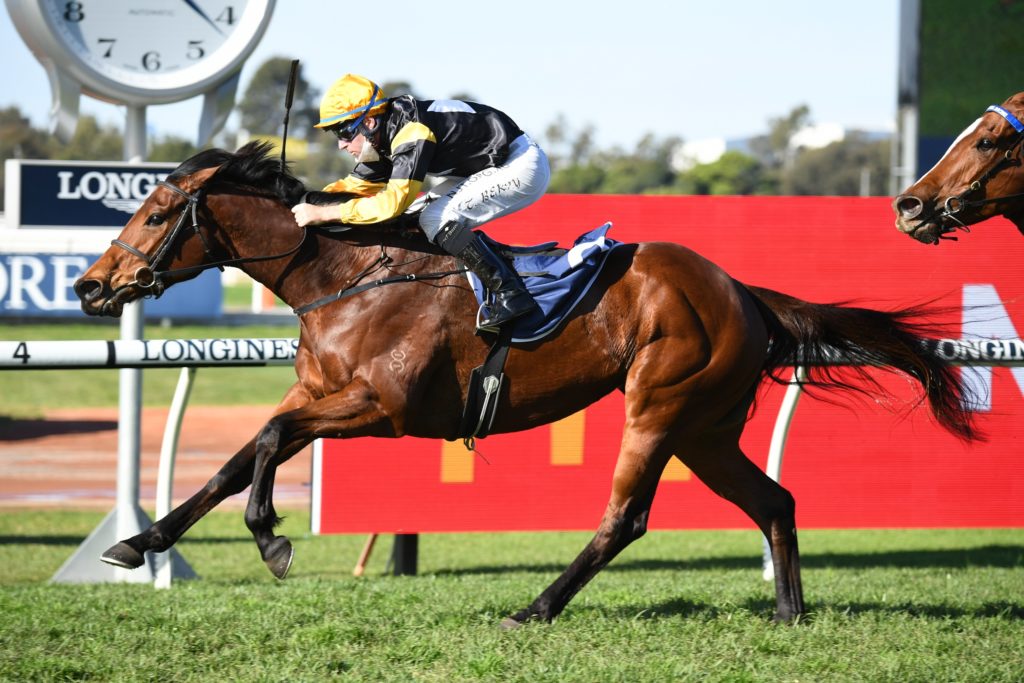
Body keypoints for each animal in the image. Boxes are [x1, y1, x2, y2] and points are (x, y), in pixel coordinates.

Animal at [74, 141, 977, 627]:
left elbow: (262, 444)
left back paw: (536, 607)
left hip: (660, 405)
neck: (344, 277)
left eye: (157, 213)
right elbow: (236, 460)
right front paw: (139, 543)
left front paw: (271, 537)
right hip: (706, 428)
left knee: (624, 518)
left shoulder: (382, 408)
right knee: (773, 500)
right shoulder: (318, 398)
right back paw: (789, 609)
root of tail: (741, 291)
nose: (89, 286)